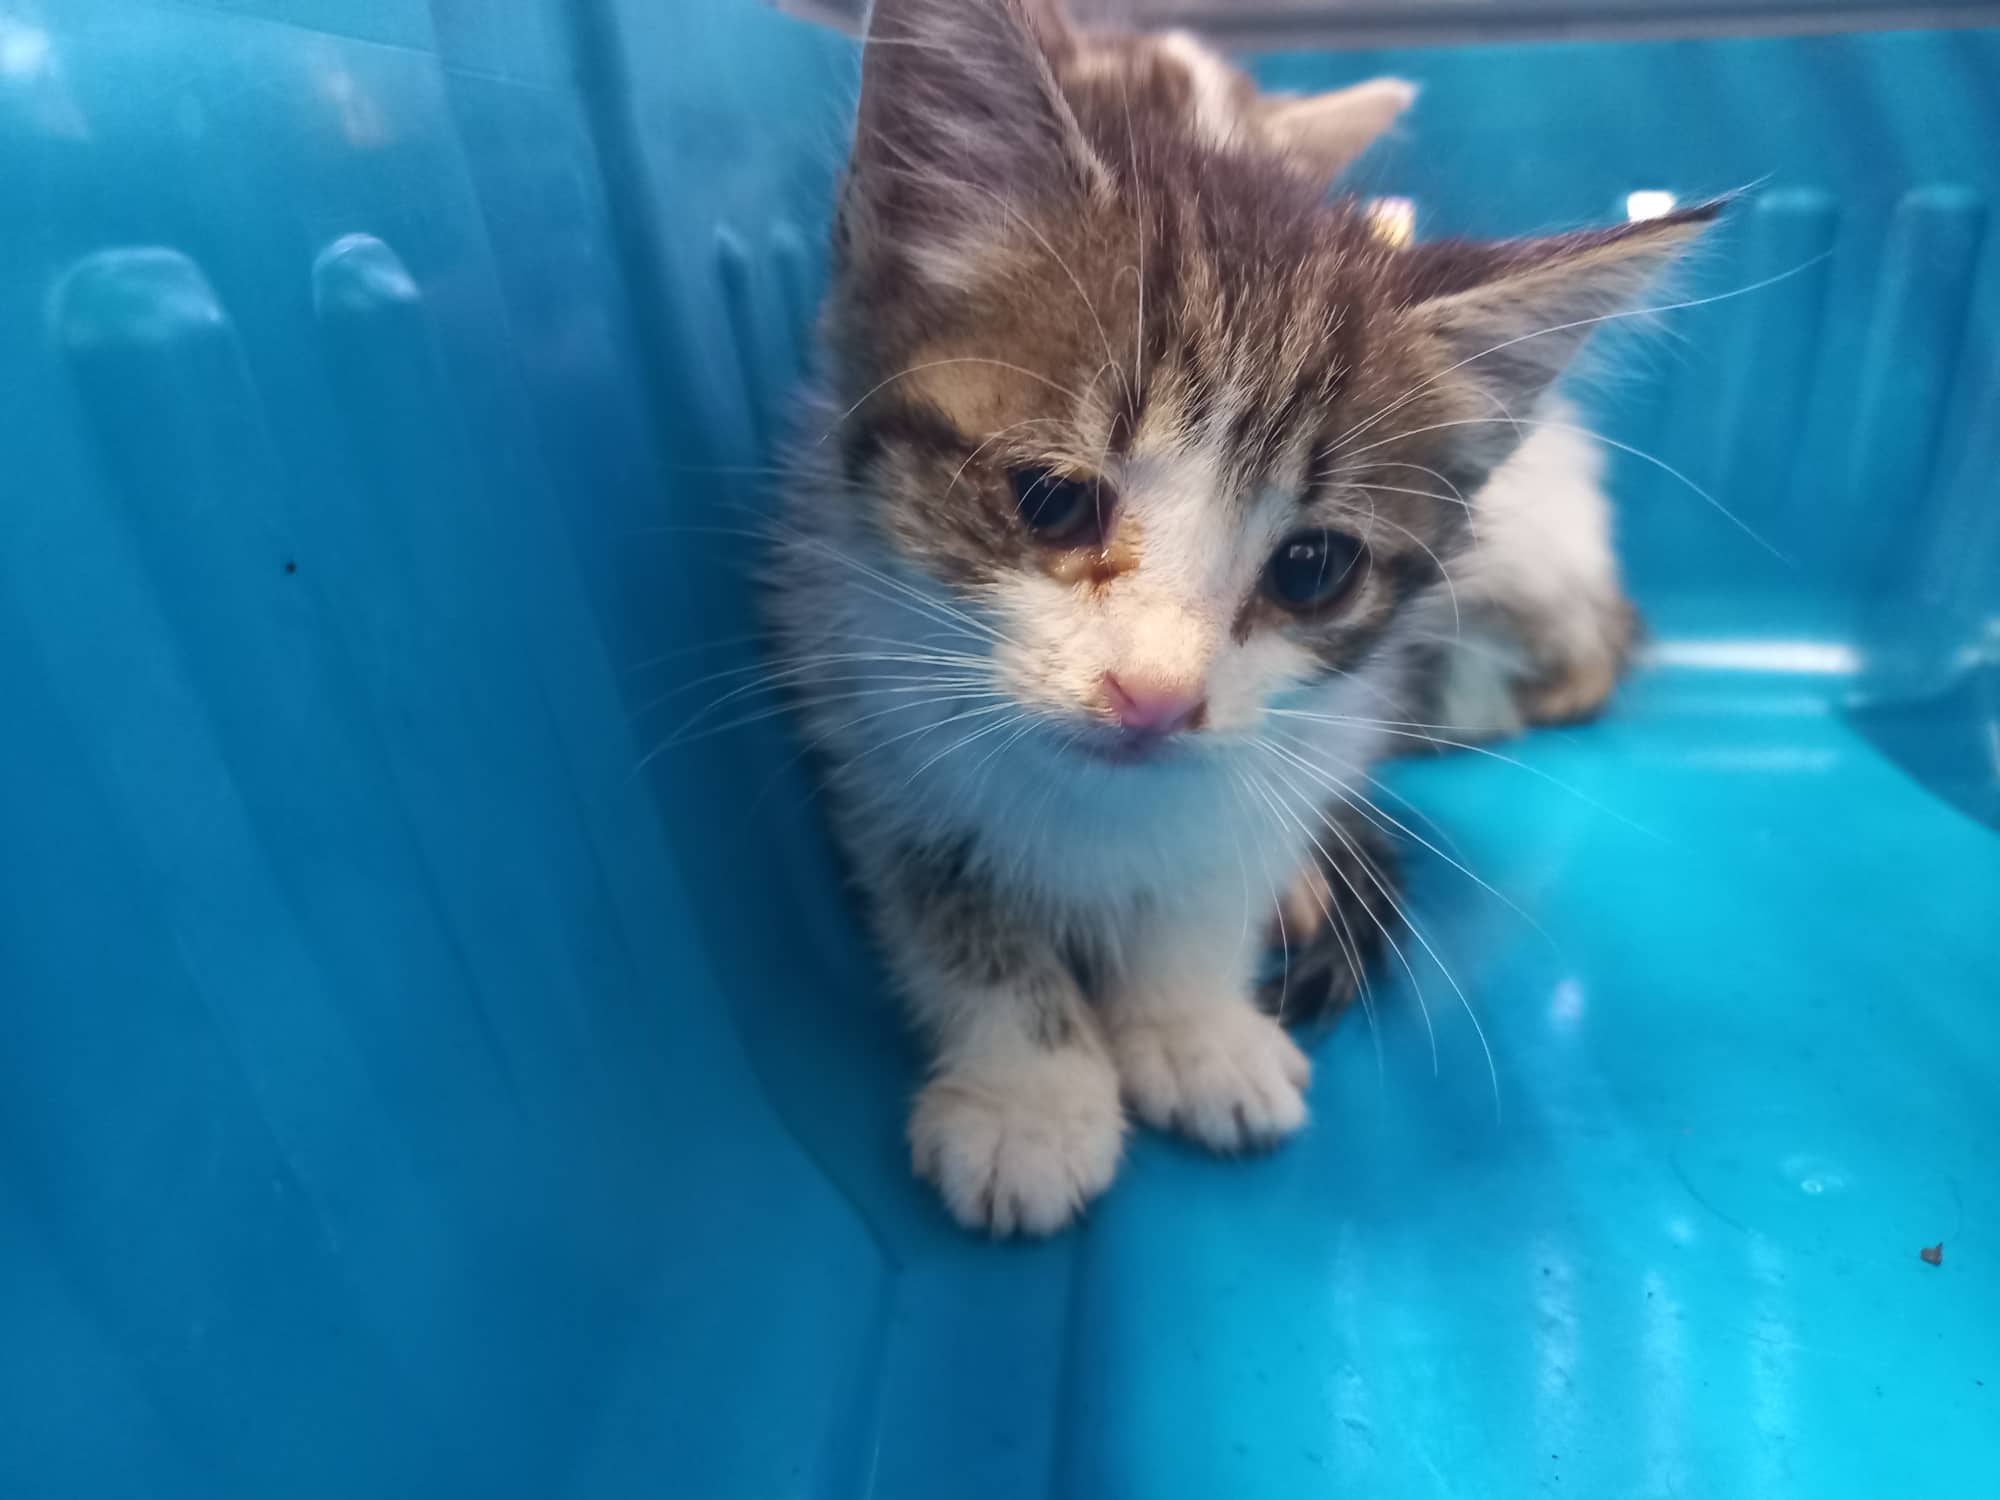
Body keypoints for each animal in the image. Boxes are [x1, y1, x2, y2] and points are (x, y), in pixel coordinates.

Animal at [769, 0, 1710, 1235]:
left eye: (1311, 568)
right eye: (1051, 501)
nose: (1154, 699)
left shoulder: (1309, 731)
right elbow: (955, 909)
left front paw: (1191, 1024)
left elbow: (1221, 866)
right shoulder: (859, 702)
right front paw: (1031, 1095)